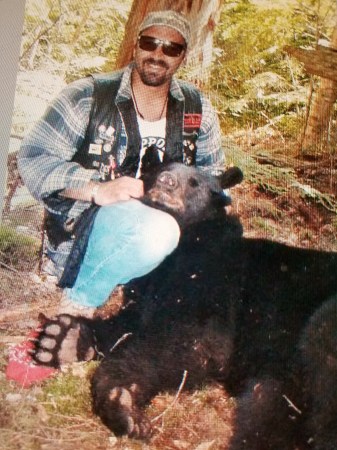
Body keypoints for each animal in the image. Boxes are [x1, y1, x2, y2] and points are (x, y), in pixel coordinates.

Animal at [31, 163, 336, 450]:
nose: (167, 181)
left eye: (195, 182)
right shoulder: (154, 287)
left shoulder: (212, 279)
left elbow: (191, 341)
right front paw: (63, 338)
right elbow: (133, 321)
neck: (186, 238)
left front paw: (121, 399)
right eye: (159, 169)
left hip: (319, 329)